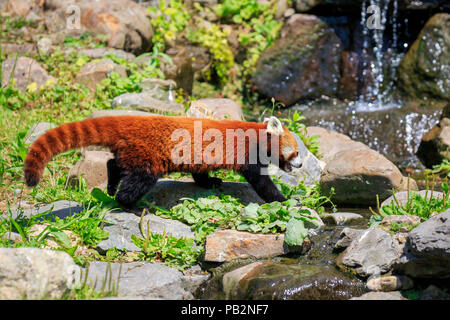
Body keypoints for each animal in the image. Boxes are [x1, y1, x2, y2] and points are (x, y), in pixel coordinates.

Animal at [23, 115, 302, 212]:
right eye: (297, 153)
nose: (299, 166)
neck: (259, 135)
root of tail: (131, 122)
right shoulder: (248, 154)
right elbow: (261, 183)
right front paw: (284, 199)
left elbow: (201, 172)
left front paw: (210, 182)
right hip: (148, 158)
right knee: (138, 181)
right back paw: (129, 205)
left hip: (131, 151)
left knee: (115, 163)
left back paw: (112, 185)